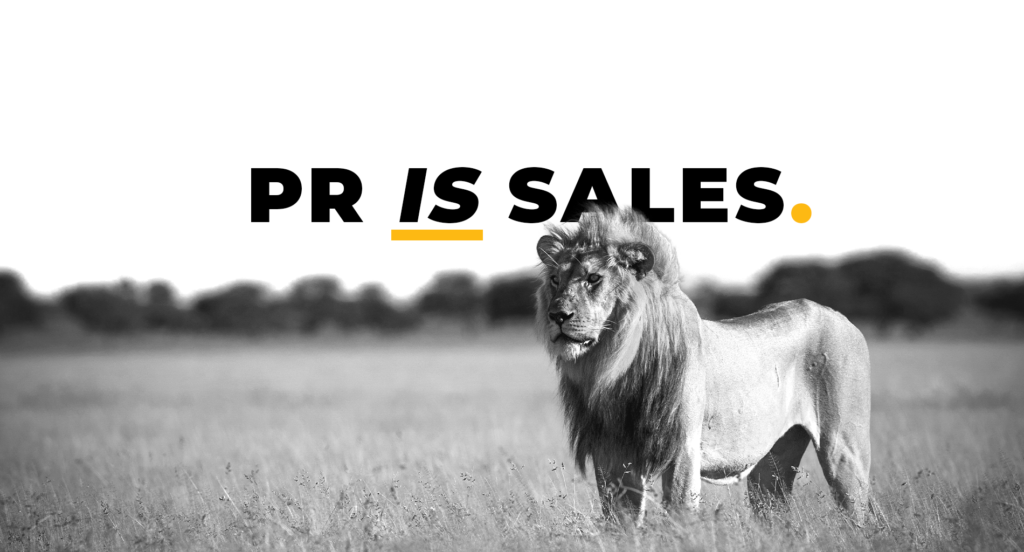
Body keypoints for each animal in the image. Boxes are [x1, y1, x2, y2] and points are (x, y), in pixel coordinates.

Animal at [535, 207, 871, 526]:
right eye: (555, 280)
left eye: (593, 278)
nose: (557, 315)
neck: (615, 368)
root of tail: (840, 316)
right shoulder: (611, 453)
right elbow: (621, 522)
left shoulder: (683, 448)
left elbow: (680, 513)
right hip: (771, 463)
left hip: (842, 448)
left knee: (863, 512)